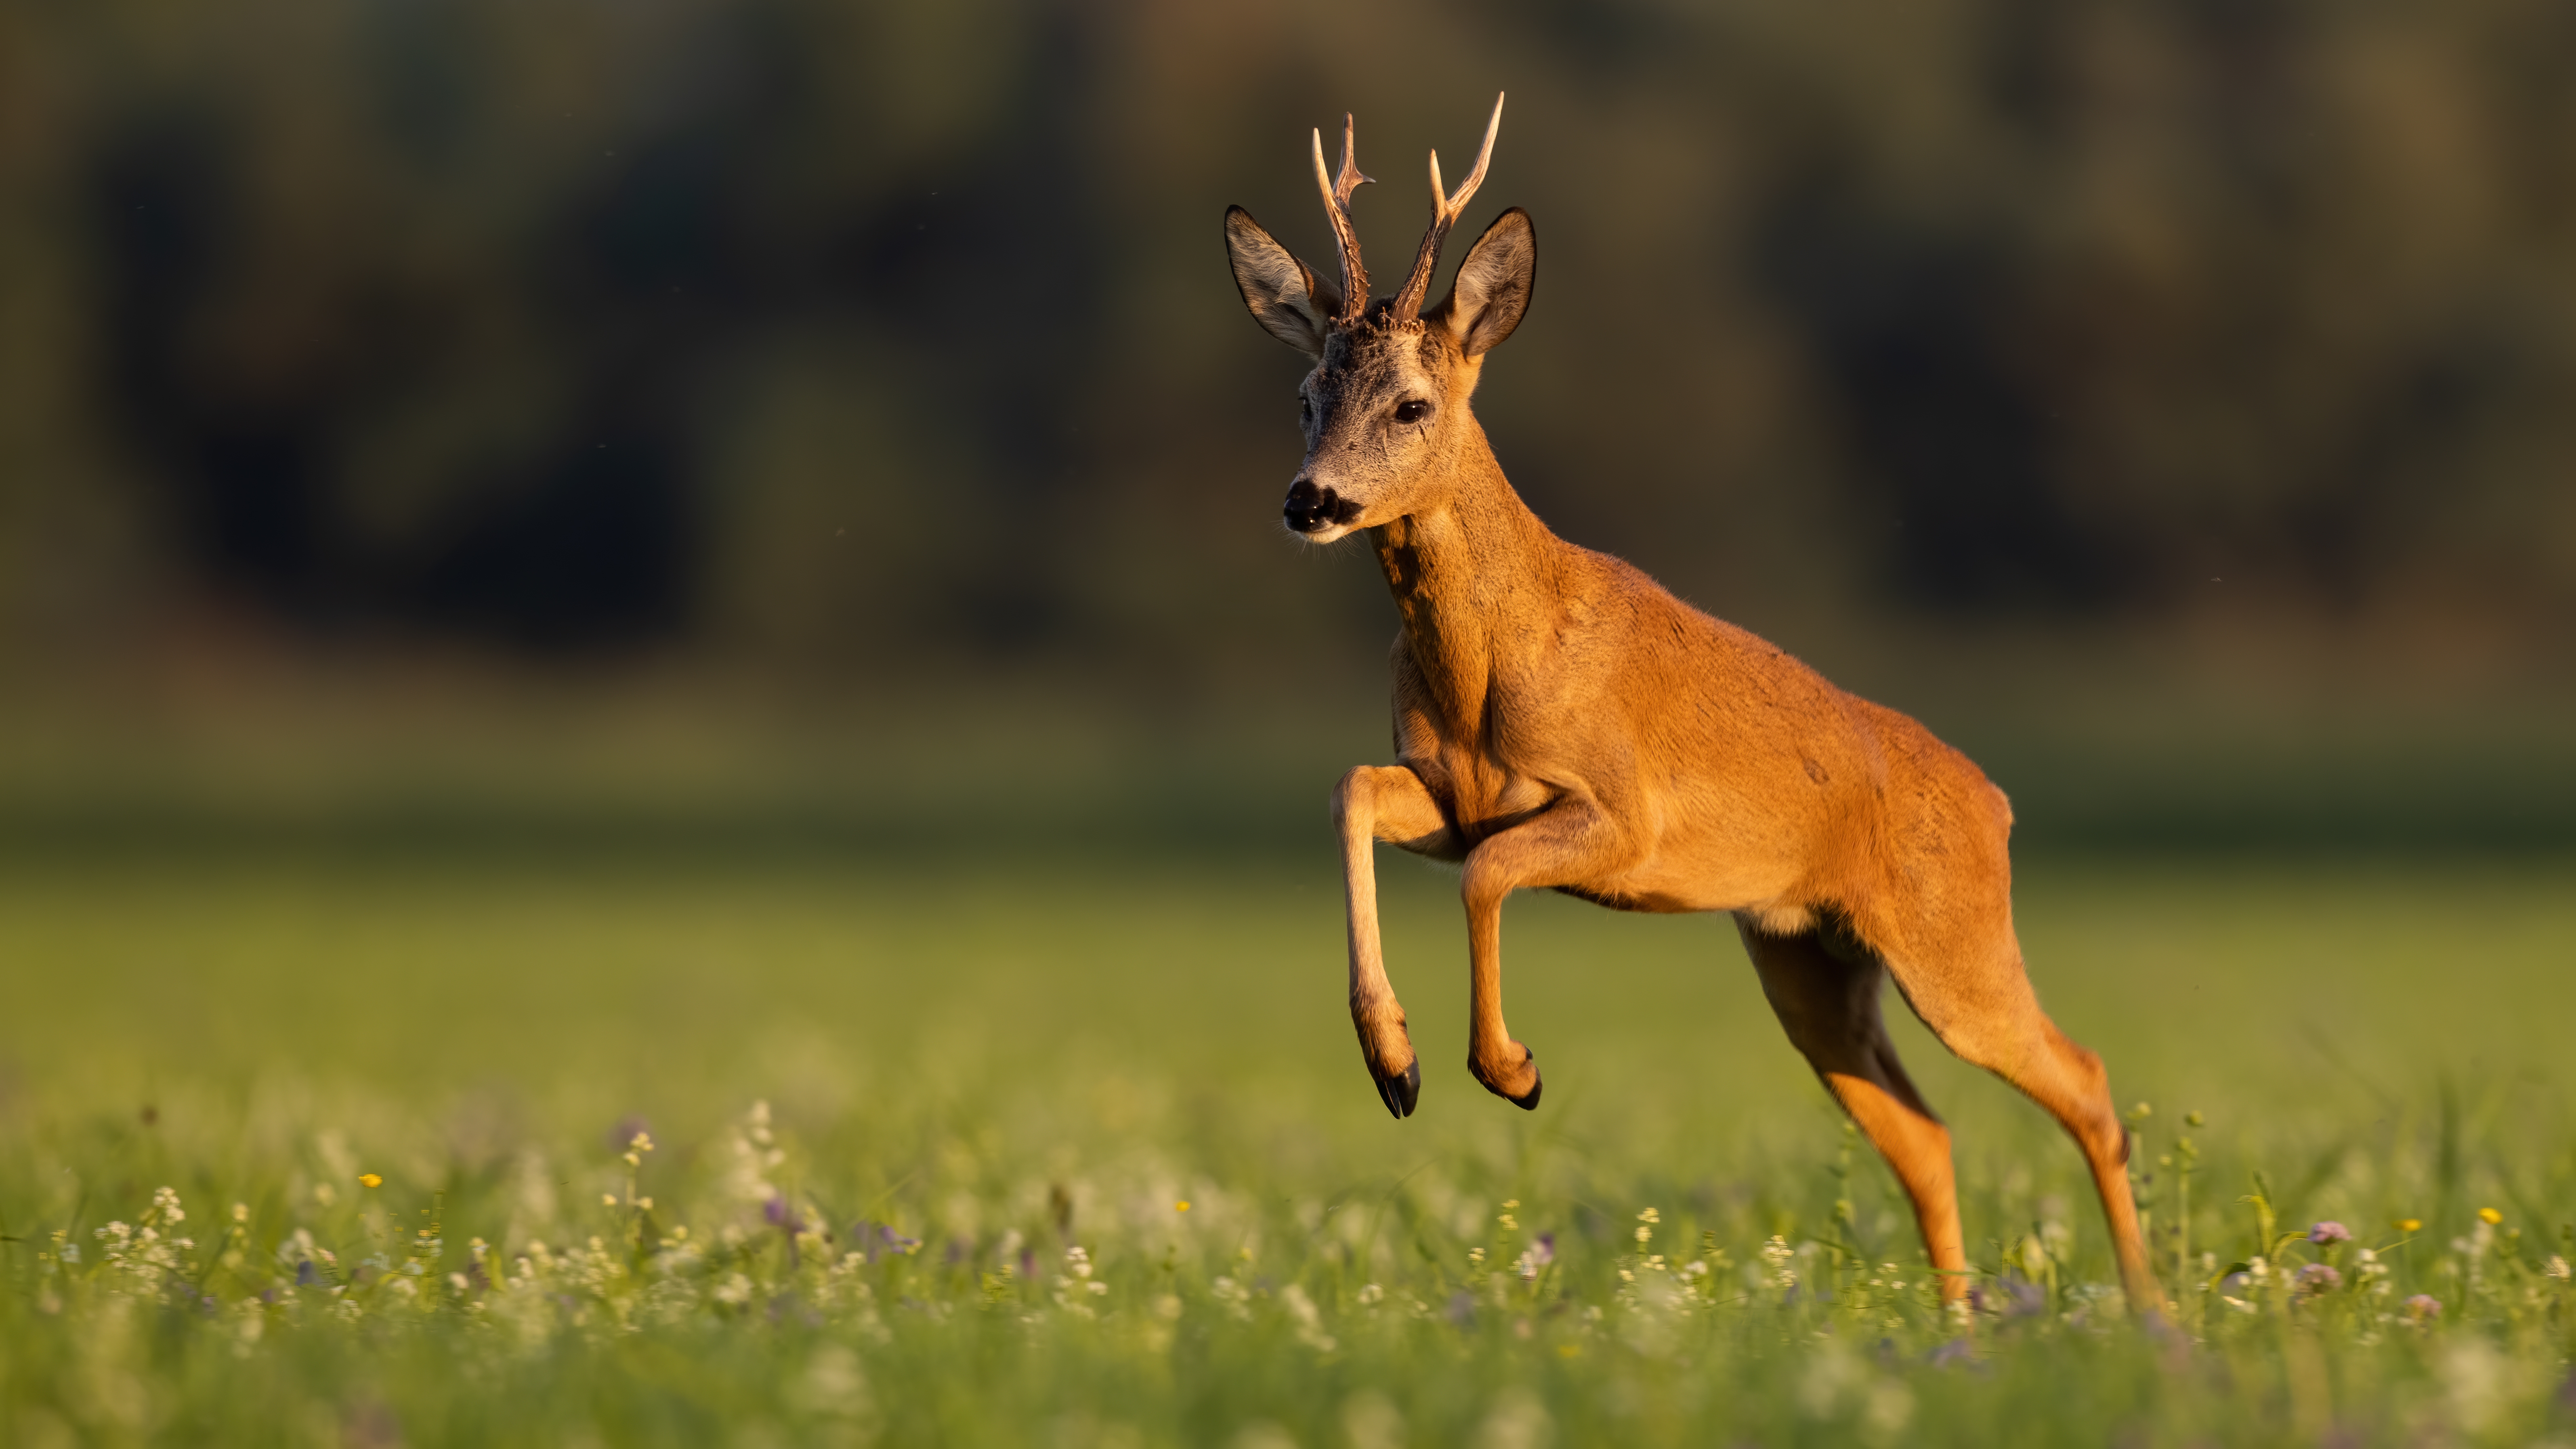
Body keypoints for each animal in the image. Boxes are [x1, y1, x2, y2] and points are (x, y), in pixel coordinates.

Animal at [1216, 96, 2164, 1304]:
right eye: (1304, 397)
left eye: (1412, 404)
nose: (1311, 499)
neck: (1491, 660)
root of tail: (1994, 801)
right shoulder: (1447, 792)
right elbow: (1353, 791)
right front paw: (1395, 1065)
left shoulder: (1622, 818)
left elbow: (1488, 873)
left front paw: (1510, 1069)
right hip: (1810, 962)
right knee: (1925, 1132)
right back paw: (1965, 1323)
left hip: (1953, 943)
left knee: (2083, 1080)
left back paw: (2146, 1312)